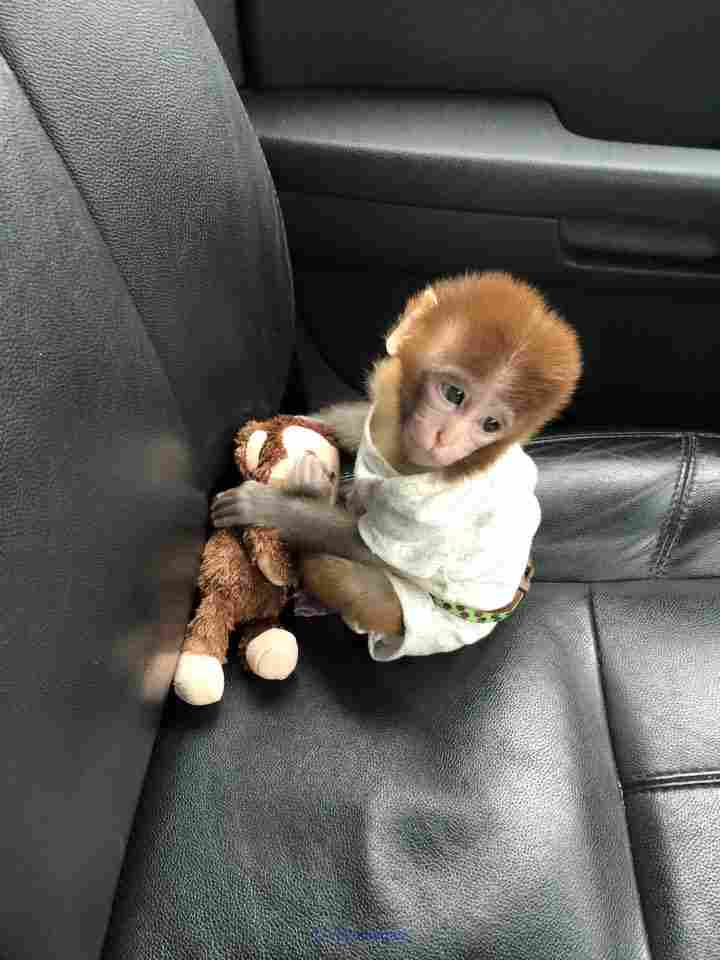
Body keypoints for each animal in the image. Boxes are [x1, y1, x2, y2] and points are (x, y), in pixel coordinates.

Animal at [212, 272, 582, 661]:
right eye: (454, 394)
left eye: (490, 425)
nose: (446, 439)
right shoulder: (386, 402)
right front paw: (304, 423)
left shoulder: (431, 507)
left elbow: (371, 548)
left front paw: (266, 506)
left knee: (331, 570)